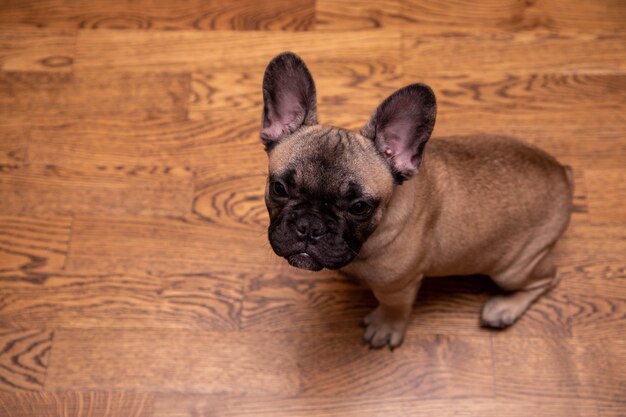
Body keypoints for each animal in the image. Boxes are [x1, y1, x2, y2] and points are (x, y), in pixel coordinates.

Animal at [258, 52, 572, 352]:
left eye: (359, 207)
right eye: (279, 188)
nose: (310, 226)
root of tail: (562, 174)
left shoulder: (398, 286)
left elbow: (394, 307)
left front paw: (386, 327)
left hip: (513, 268)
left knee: (549, 278)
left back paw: (504, 307)